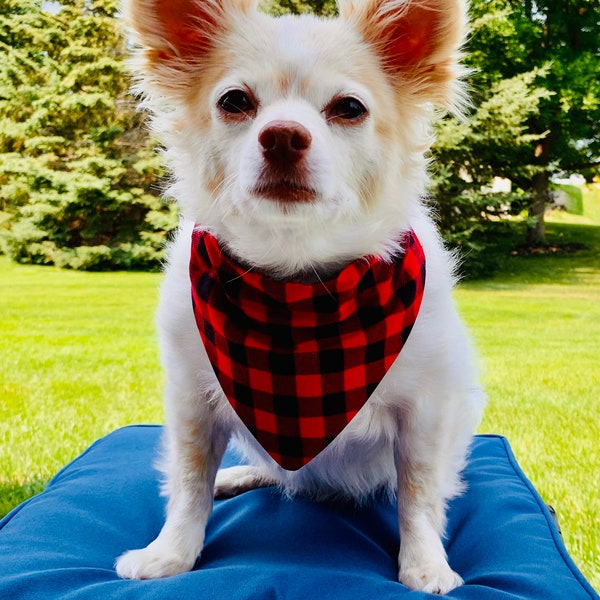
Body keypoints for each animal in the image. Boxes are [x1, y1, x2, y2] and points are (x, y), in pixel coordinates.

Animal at [115, 0, 486, 592]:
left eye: (349, 108)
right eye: (235, 102)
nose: (284, 136)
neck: (295, 284)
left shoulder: (427, 411)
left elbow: (419, 494)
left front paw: (425, 563)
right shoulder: (192, 404)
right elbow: (190, 483)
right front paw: (171, 554)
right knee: (265, 470)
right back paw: (239, 474)